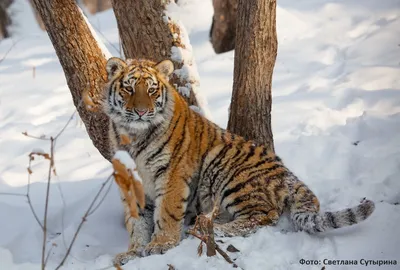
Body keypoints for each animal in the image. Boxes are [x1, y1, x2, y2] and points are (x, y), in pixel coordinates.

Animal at [104, 57, 376, 266]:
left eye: (151, 90)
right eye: (129, 89)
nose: (141, 111)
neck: (134, 134)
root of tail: (288, 175)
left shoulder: (172, 174)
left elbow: (167, 213)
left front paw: (161, 245)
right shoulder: (129, 181)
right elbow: (137, 222)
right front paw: (131, 252)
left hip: (227, 172)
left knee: (265, 215)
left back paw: (213, 229)